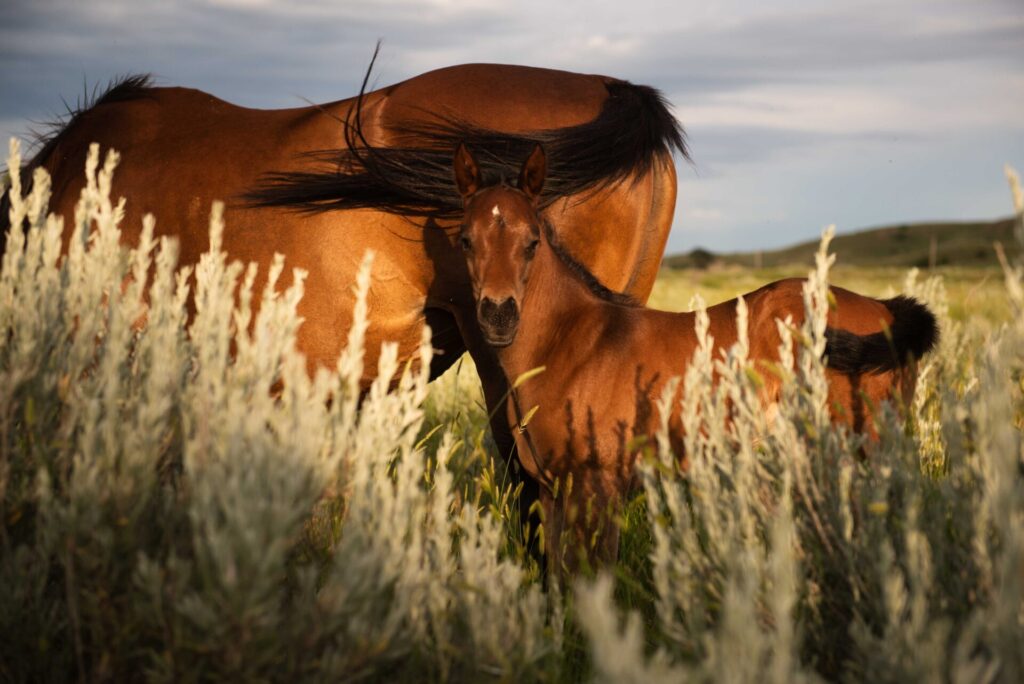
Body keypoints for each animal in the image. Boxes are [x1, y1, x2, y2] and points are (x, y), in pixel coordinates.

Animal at [452, 143, 939, 571]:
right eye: (466, 241)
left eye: (532, 242)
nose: (498, 316)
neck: (573, 342)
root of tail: (885, 309)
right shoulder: (551, 488)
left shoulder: (597, 484)